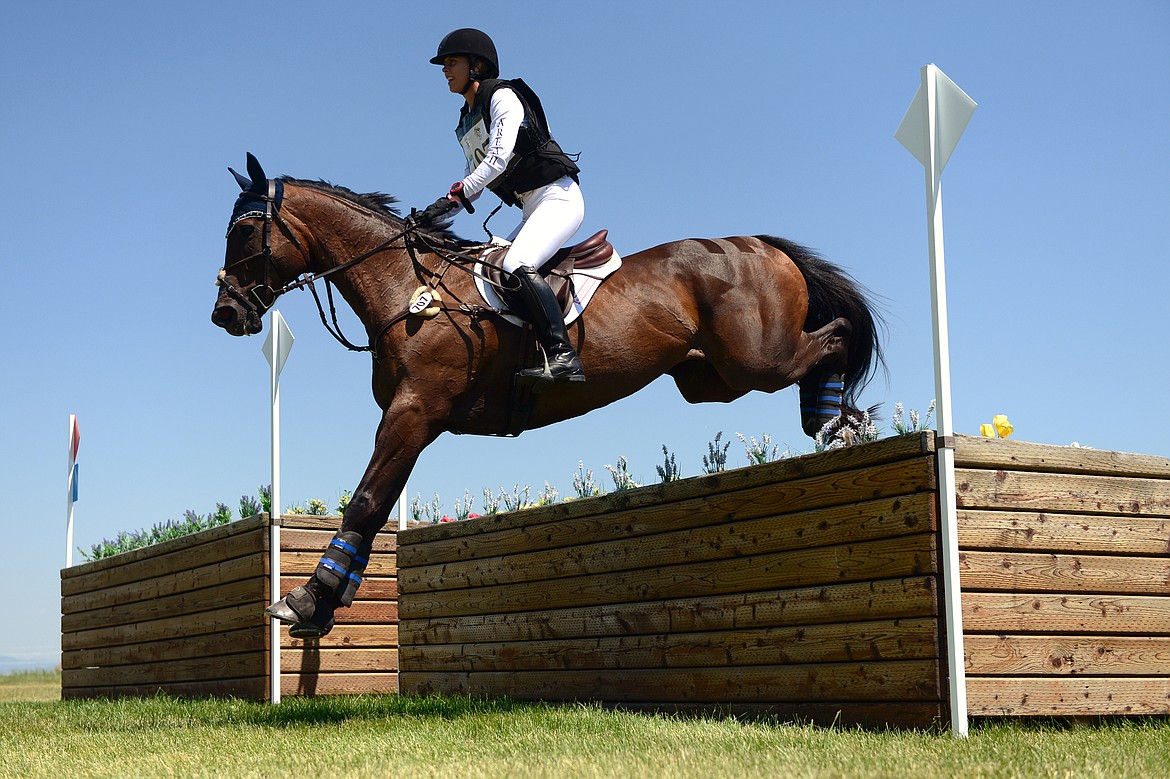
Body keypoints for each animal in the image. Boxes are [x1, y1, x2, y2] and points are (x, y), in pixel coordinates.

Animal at [215, 153, 879, 636]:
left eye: (243, 233)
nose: (225, 313)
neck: (408, 288)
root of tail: (762, 244)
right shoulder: (410, 417)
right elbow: (374, 505)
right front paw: (328, 599)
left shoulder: (415, 411)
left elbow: (366, 502)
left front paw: (307, 600)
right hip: (711, 379)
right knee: (820, 346)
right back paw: (834, 422)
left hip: (755, 359)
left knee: (838, 334)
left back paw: (841, 421)